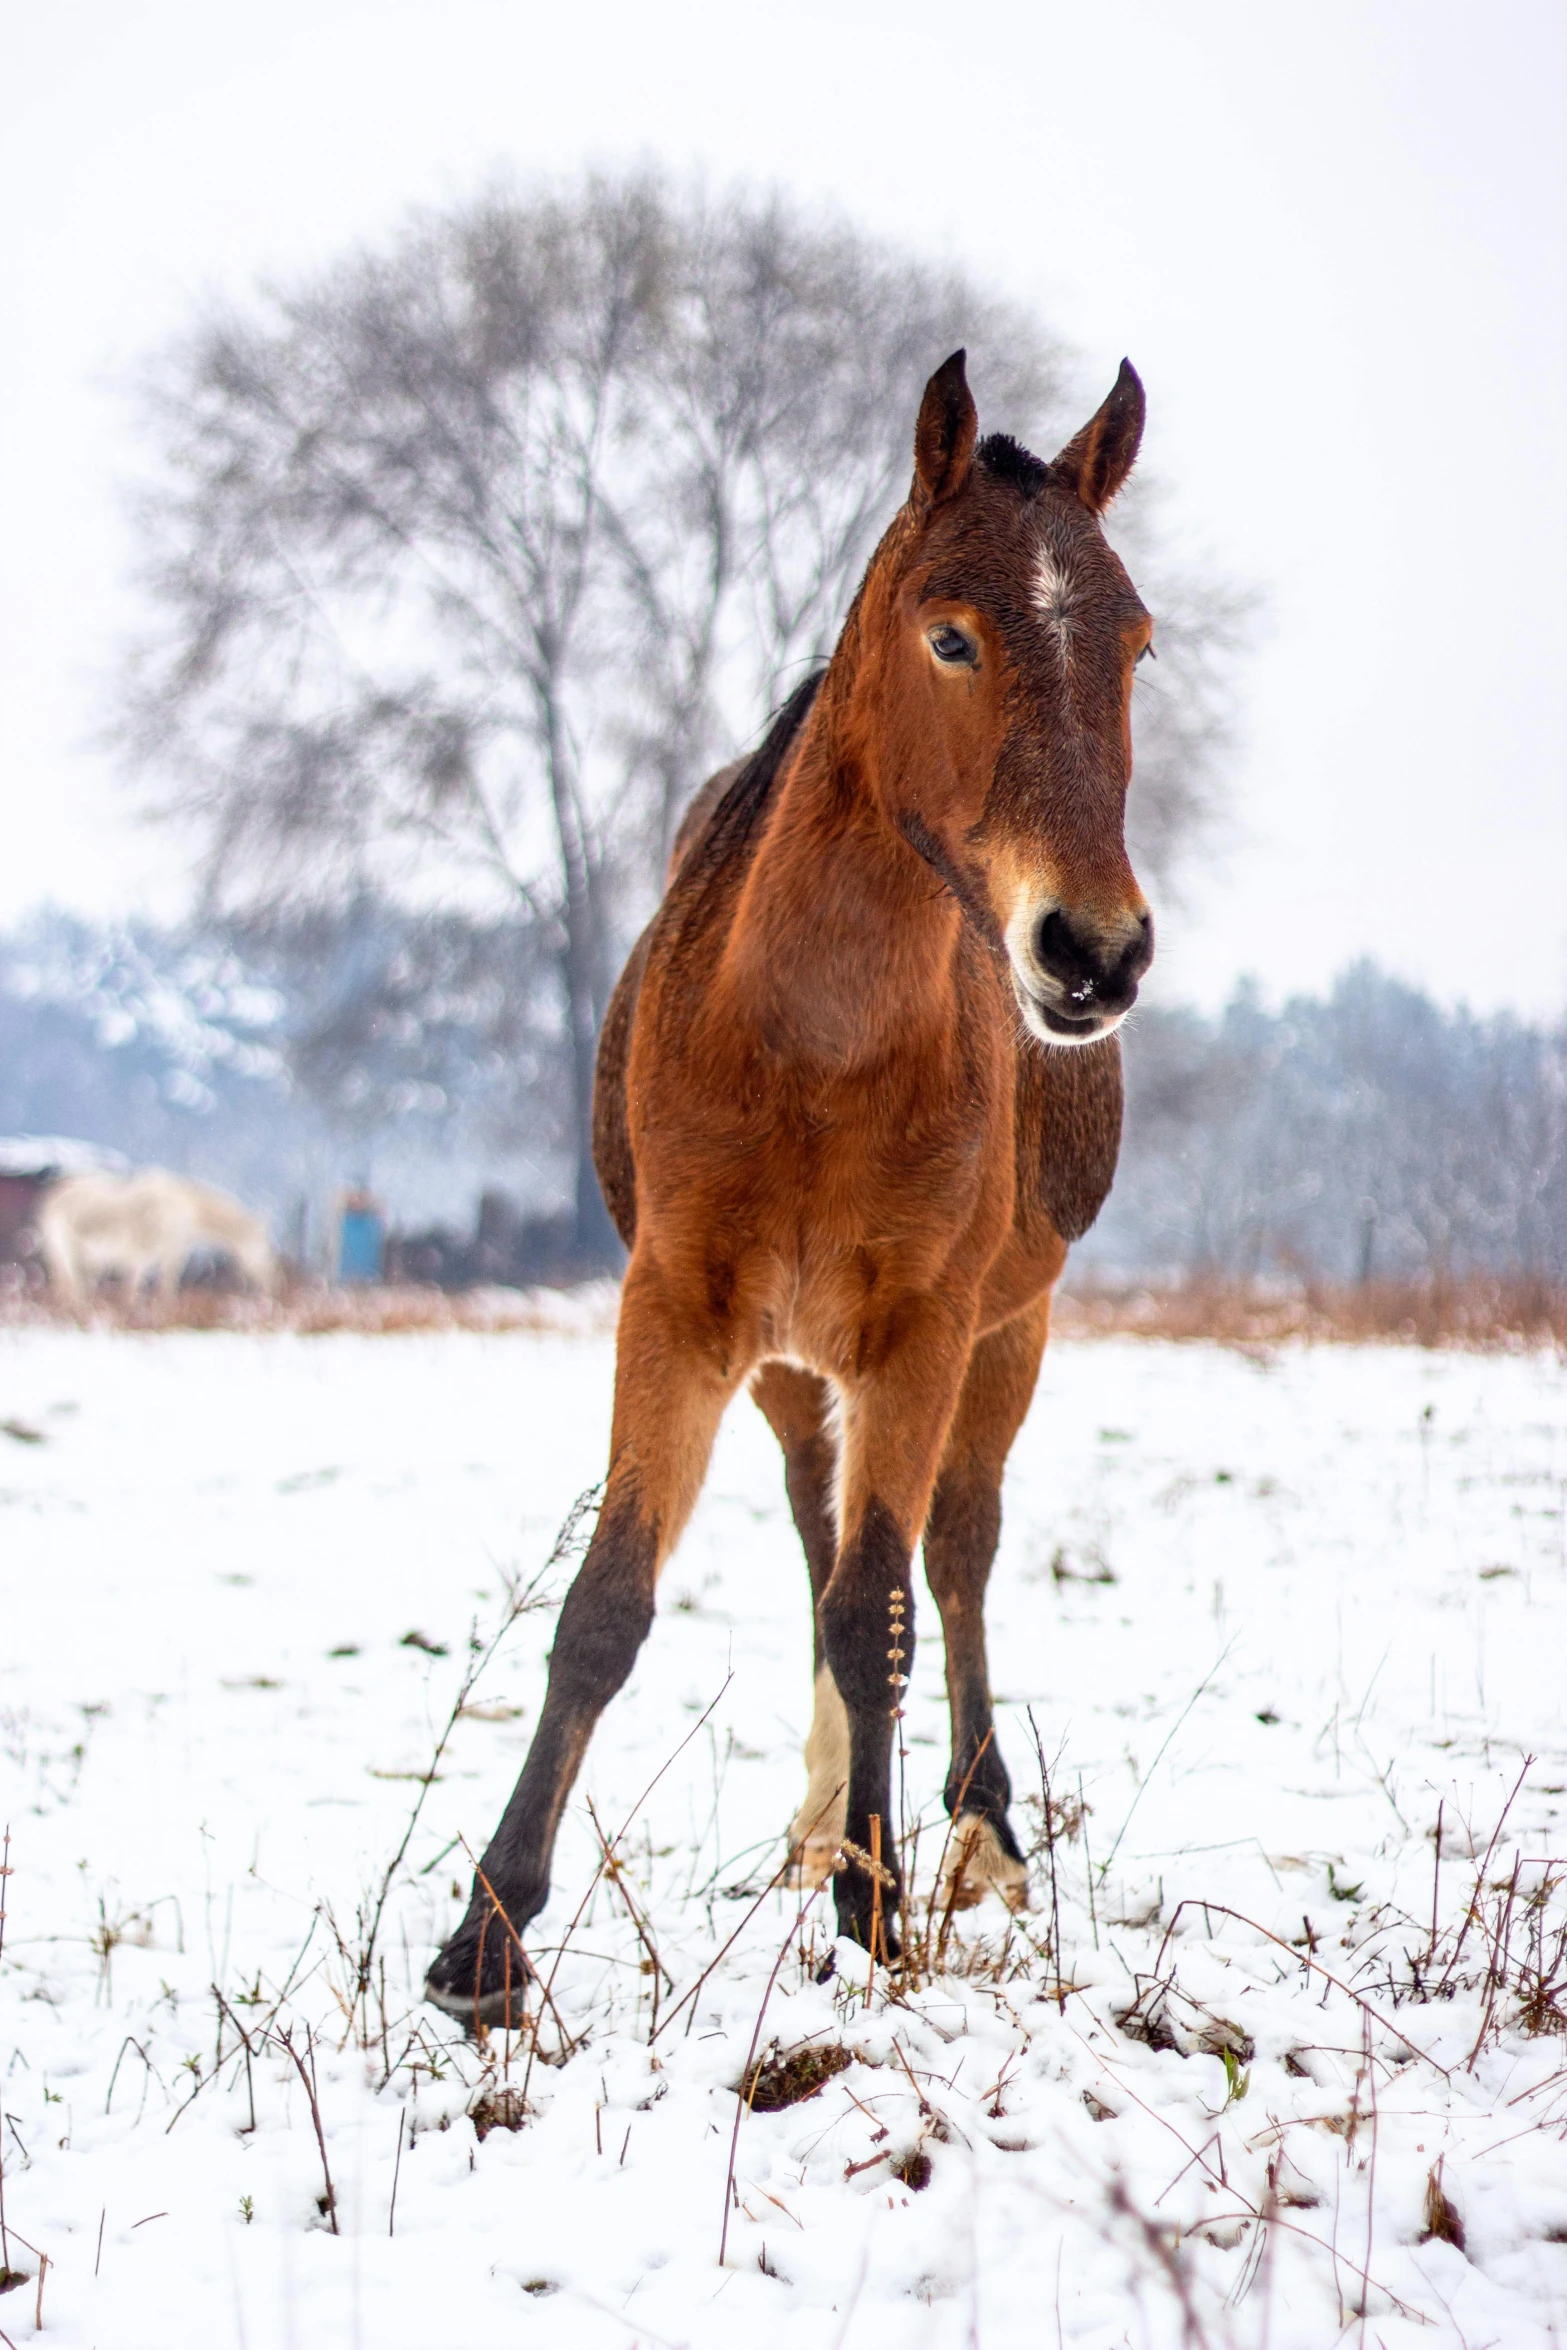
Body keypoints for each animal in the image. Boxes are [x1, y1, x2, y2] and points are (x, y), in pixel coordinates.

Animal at [35, 1170, 276, 1306]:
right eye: (264, 1246)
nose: (272, 1281)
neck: (190, 1209)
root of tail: (51, 1205)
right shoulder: (171, 1250)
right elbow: (166, 1285)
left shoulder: (145, 1256)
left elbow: (137, 1285)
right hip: (66, 1253)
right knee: (71, 1290)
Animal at [429, 347, 1151, 2020]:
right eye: (947, 632)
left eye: (1136, 643)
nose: (1089, 952)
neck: (812, 1043)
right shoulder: (680, 1311)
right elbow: (608, 1605)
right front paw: (486, 1933)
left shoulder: (921, 1326)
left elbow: (881, 1608)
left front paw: (874, 1910)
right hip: (785, 1366)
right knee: (826, 1536)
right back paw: (821, 1815)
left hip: (1004, 1328)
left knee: (947, 1554)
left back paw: (969, 1832)